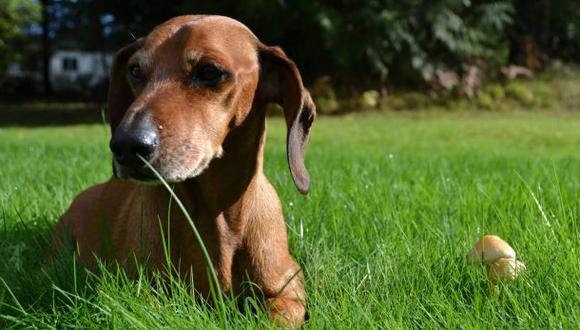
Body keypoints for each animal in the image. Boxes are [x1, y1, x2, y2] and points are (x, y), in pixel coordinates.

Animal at [54, 14, 314, 324]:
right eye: (135, 70)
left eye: (210, 71)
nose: (126, 145)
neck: (213, 216)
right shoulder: (140, 296)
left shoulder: (287, 292)